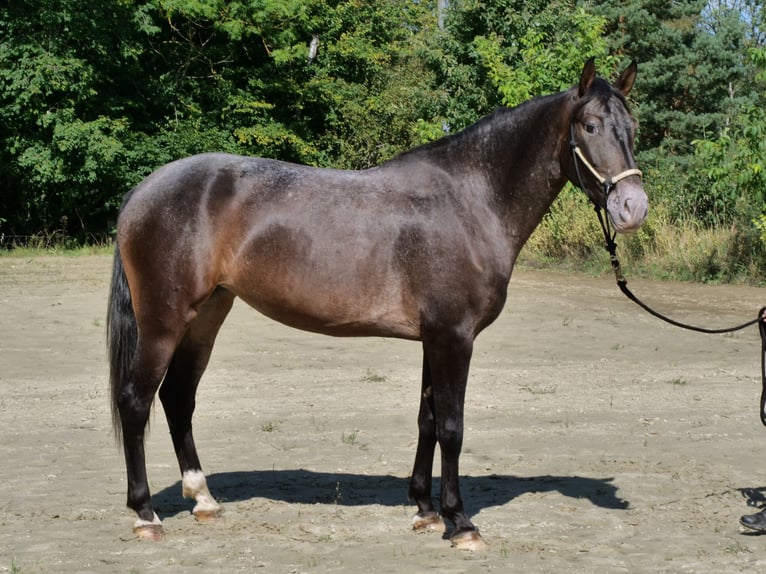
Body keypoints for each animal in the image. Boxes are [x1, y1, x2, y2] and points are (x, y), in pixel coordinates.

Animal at [106, 59, 648, 552]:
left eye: (632, 128)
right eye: (590, 126)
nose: (633, 207)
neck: (469, 201)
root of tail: (143, 192)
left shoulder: (435, 338)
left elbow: (428, 420)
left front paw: (426, 511)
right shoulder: (454, 336)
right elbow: (452, 426)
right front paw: (461, 523)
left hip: (207, 316)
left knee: (178, 398)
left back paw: (204, 500)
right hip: (163, 321)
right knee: (136, 400)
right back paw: (146, 514)